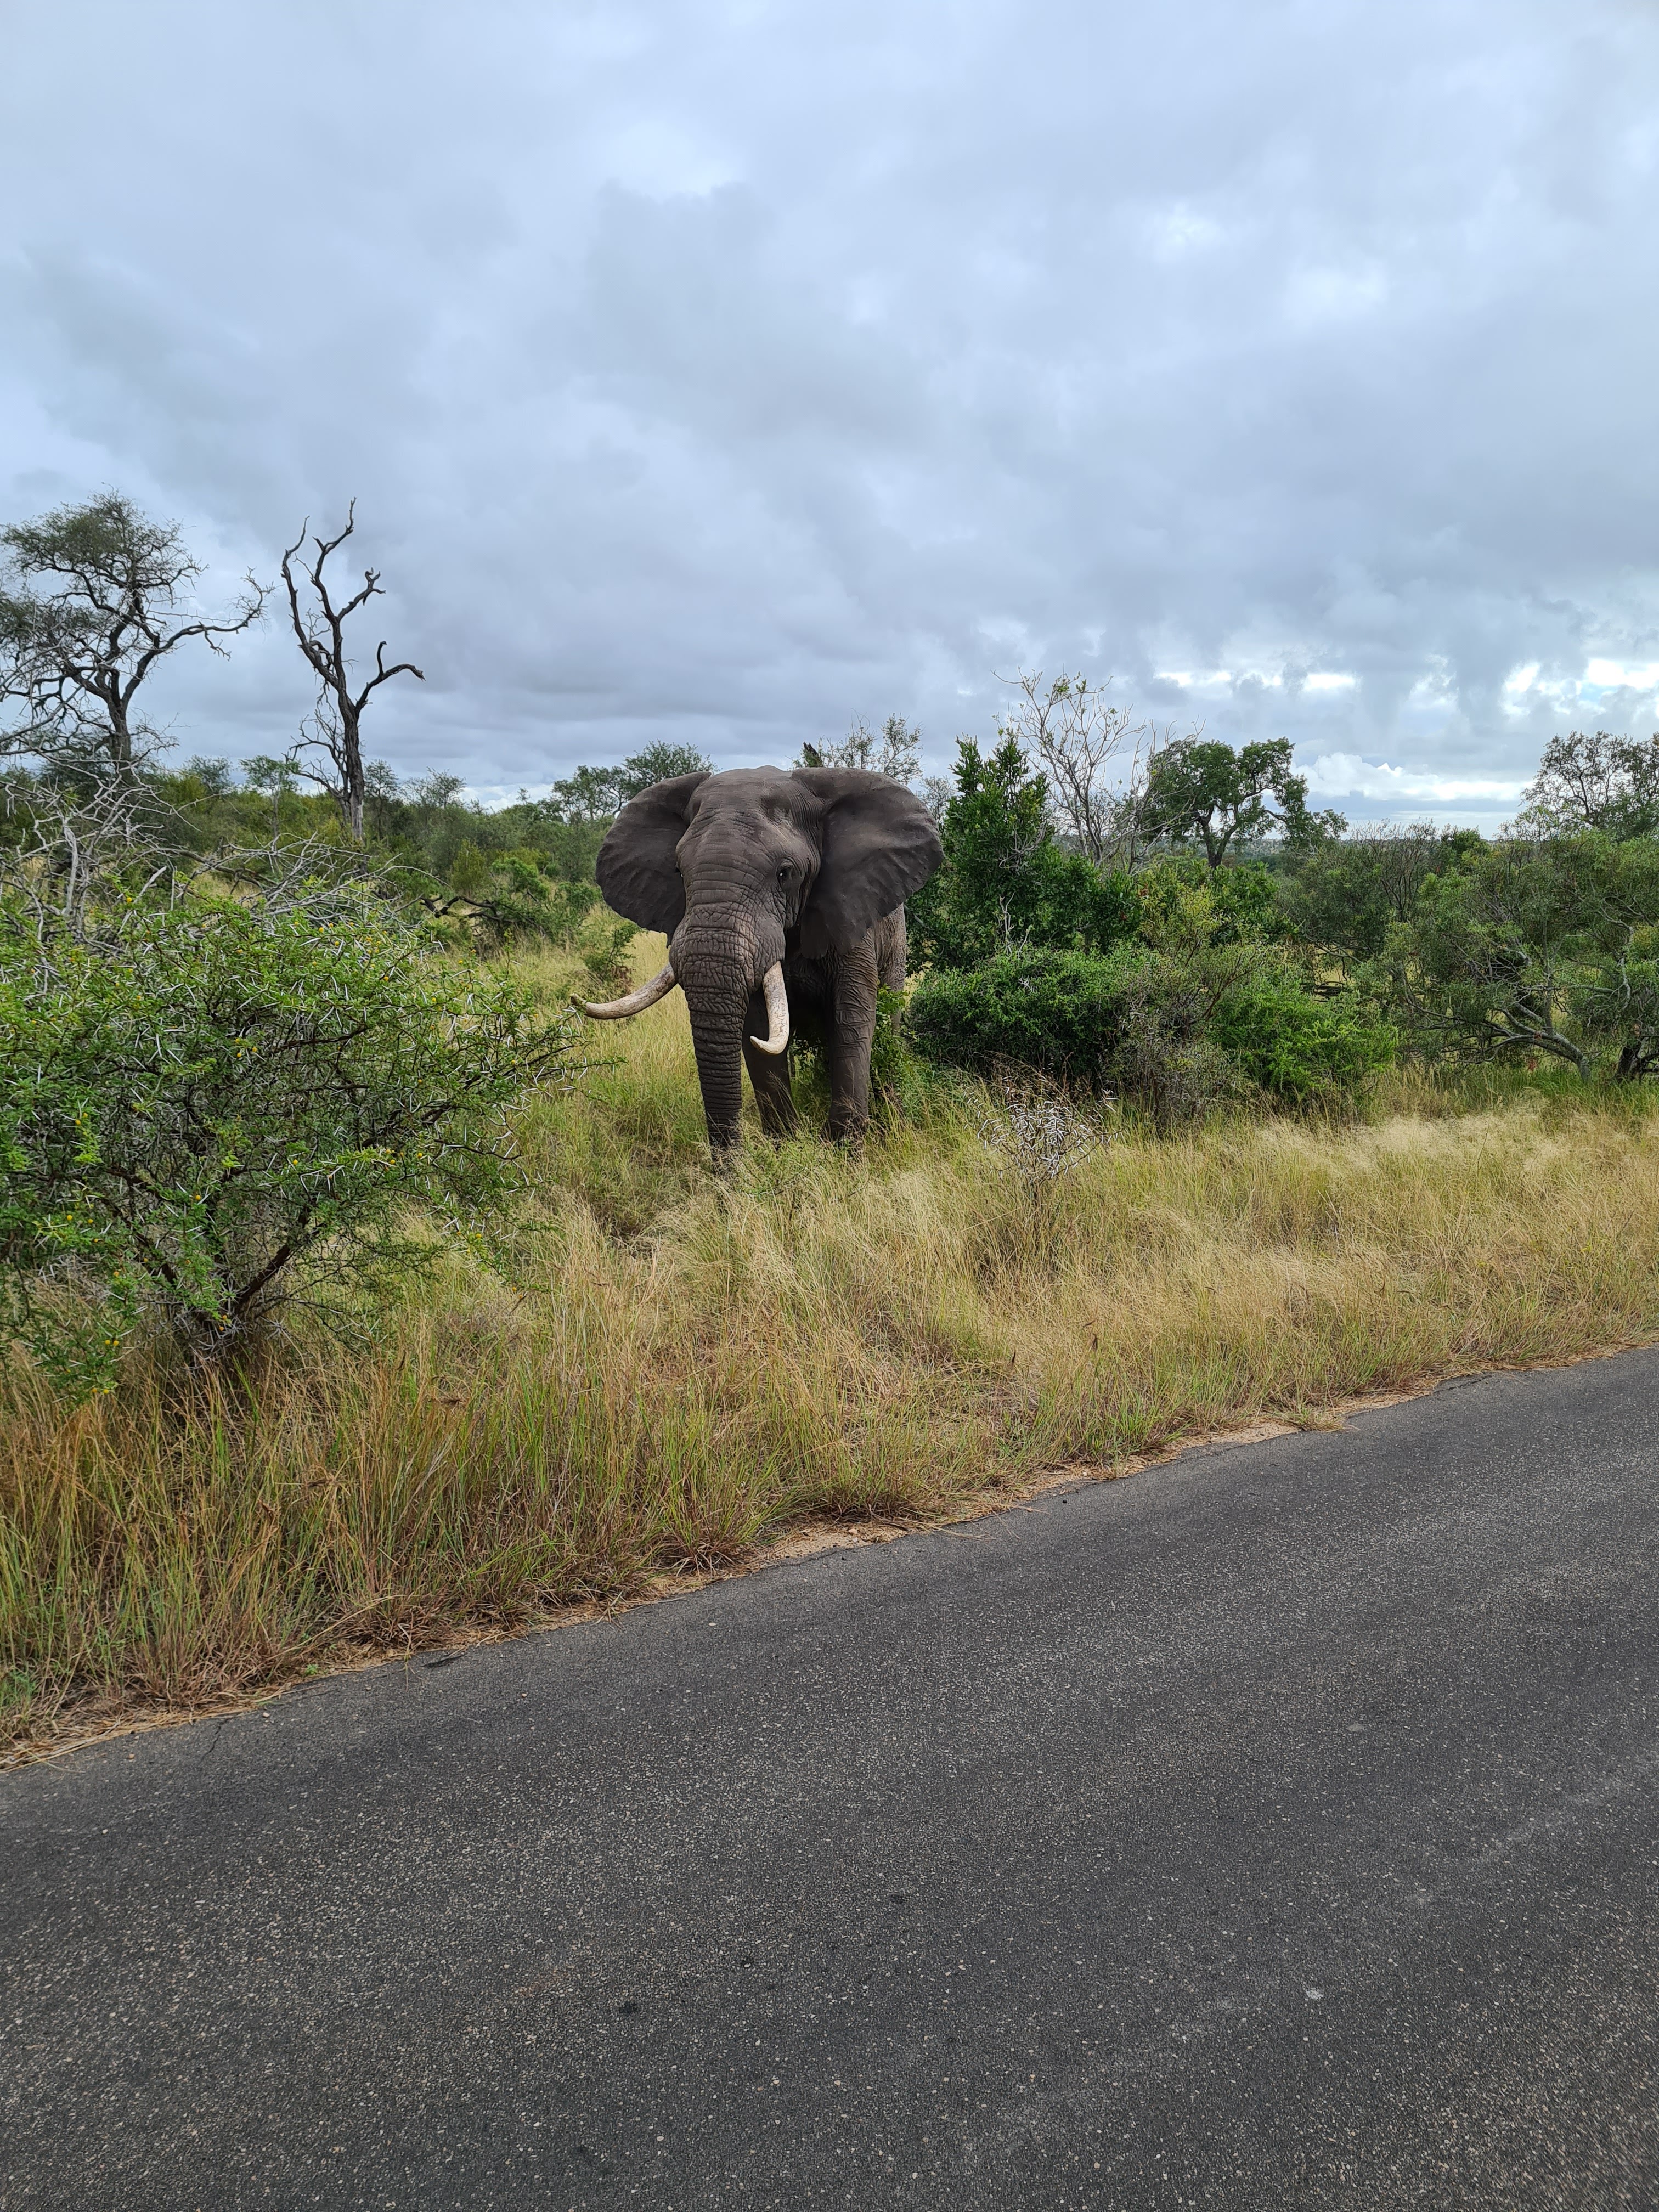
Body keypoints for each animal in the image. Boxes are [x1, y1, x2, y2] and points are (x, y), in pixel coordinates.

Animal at [573, 765, 942, 1154]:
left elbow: (851, 1016)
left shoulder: (850, 916)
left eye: (785, 873)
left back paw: (893, 1123)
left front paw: (844, 1149)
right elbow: (758, 1028)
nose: (729, 1163)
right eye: (678, 871)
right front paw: (784, 1148)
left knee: (889, 1026)